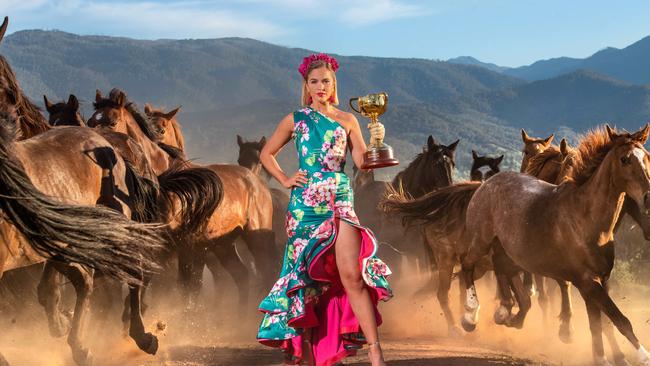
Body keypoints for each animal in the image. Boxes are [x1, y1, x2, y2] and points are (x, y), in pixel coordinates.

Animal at [458, 126, 648, 366]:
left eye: (647, 157)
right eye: (625, 159)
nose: (648, 198)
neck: (585, 217)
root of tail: (487, 183)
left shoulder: (599, 281)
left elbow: (598, 324)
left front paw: (604, 358)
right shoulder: (587, 282)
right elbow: (619, 319)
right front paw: (643, 356)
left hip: (506, 250)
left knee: (503, 270)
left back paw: (507, 312)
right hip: (480, 240)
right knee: (467, 265)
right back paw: (470, 316)